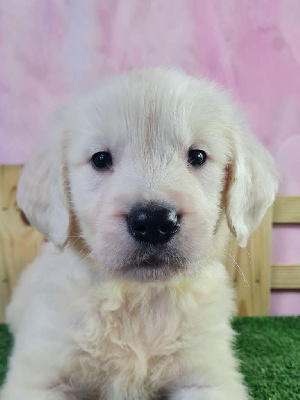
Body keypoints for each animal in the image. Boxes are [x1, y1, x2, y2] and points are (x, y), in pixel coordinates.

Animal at [0, 69, 278, 400]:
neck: (139, 298)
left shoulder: (207, 376)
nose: (155, 222)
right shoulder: (40, 376)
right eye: (100, 159)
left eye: (198, 156)